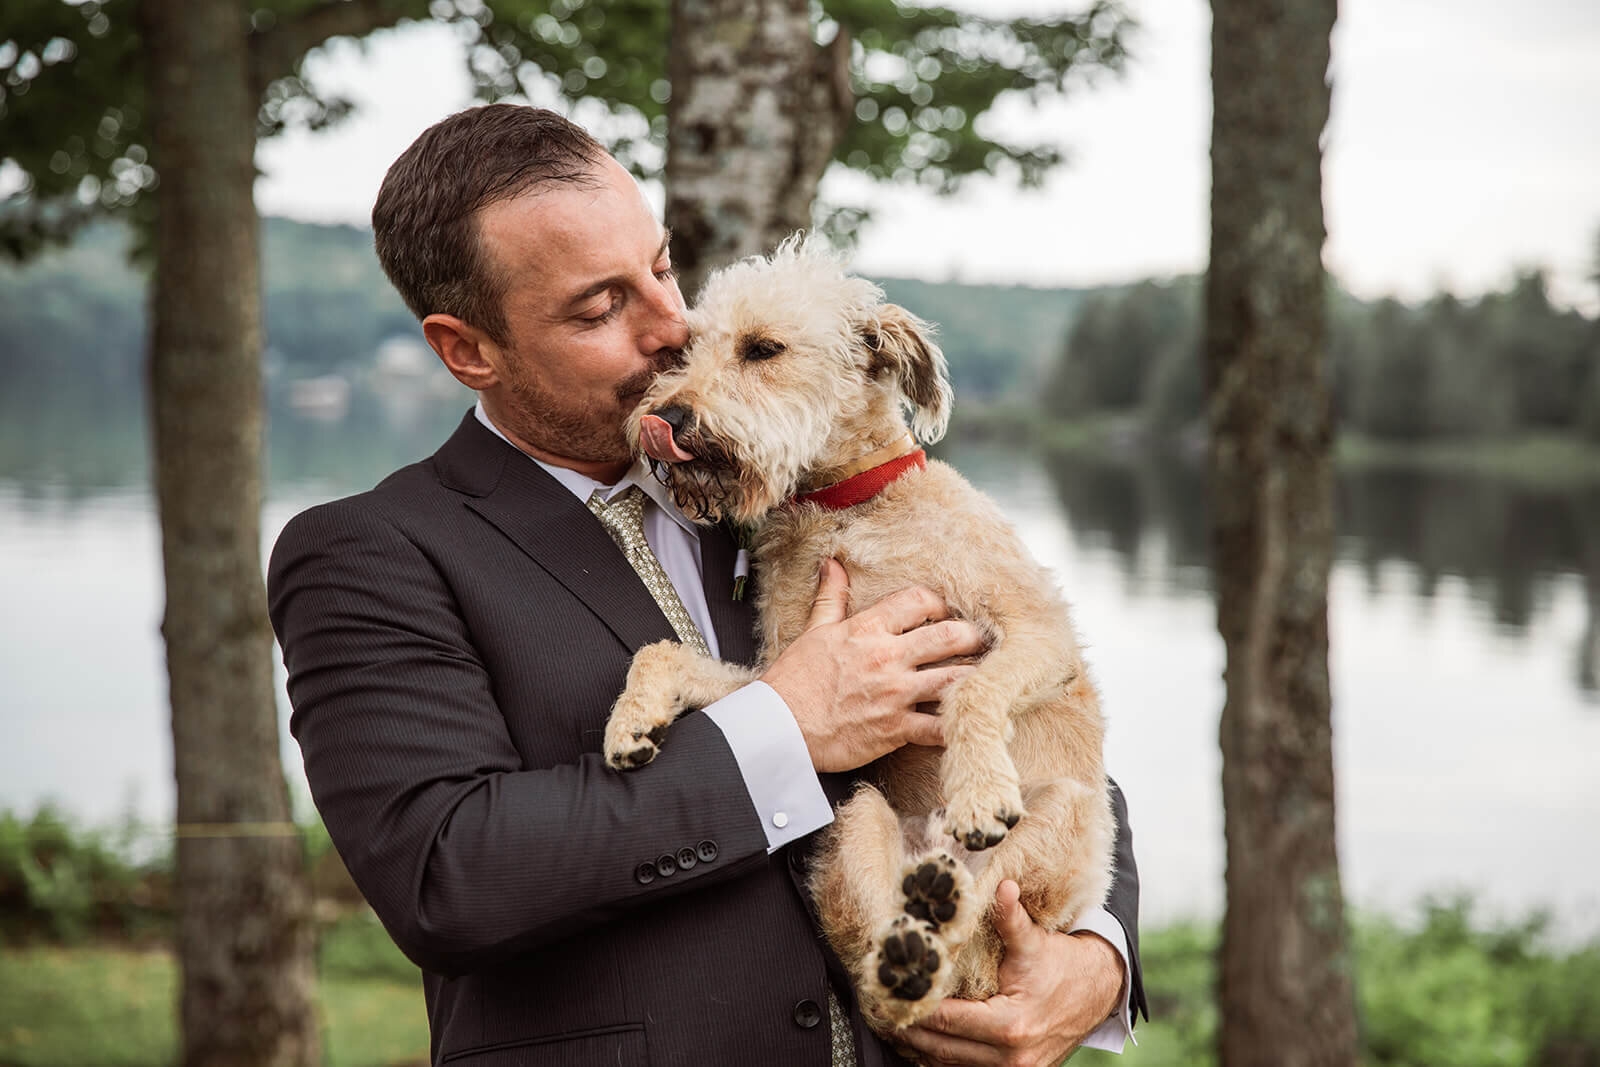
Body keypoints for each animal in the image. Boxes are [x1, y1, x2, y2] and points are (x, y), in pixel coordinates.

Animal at [601, 233, 1113, 1036]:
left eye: (763, 348)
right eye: (686, 348)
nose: (668, 415)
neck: (848, 507)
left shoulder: (1041, 631)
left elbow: (973, 687)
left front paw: (978, 791)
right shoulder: (784, 671)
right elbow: (665, 654)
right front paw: (631, 721)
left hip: (1065, 818)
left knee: (982, 918)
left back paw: (949, 889)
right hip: (857, 819)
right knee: (889, 980)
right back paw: (910, 950)